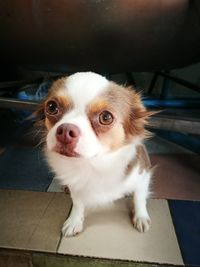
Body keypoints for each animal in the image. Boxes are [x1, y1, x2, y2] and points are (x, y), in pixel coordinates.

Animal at [36, 72, 154, 238]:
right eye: (52, 107)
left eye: (106, 117)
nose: (65, 130)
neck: (93, 164)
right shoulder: (76, 186)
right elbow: (77, 203)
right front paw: (74, 221)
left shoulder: (143, 175)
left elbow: (139, 197)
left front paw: (141, 217)